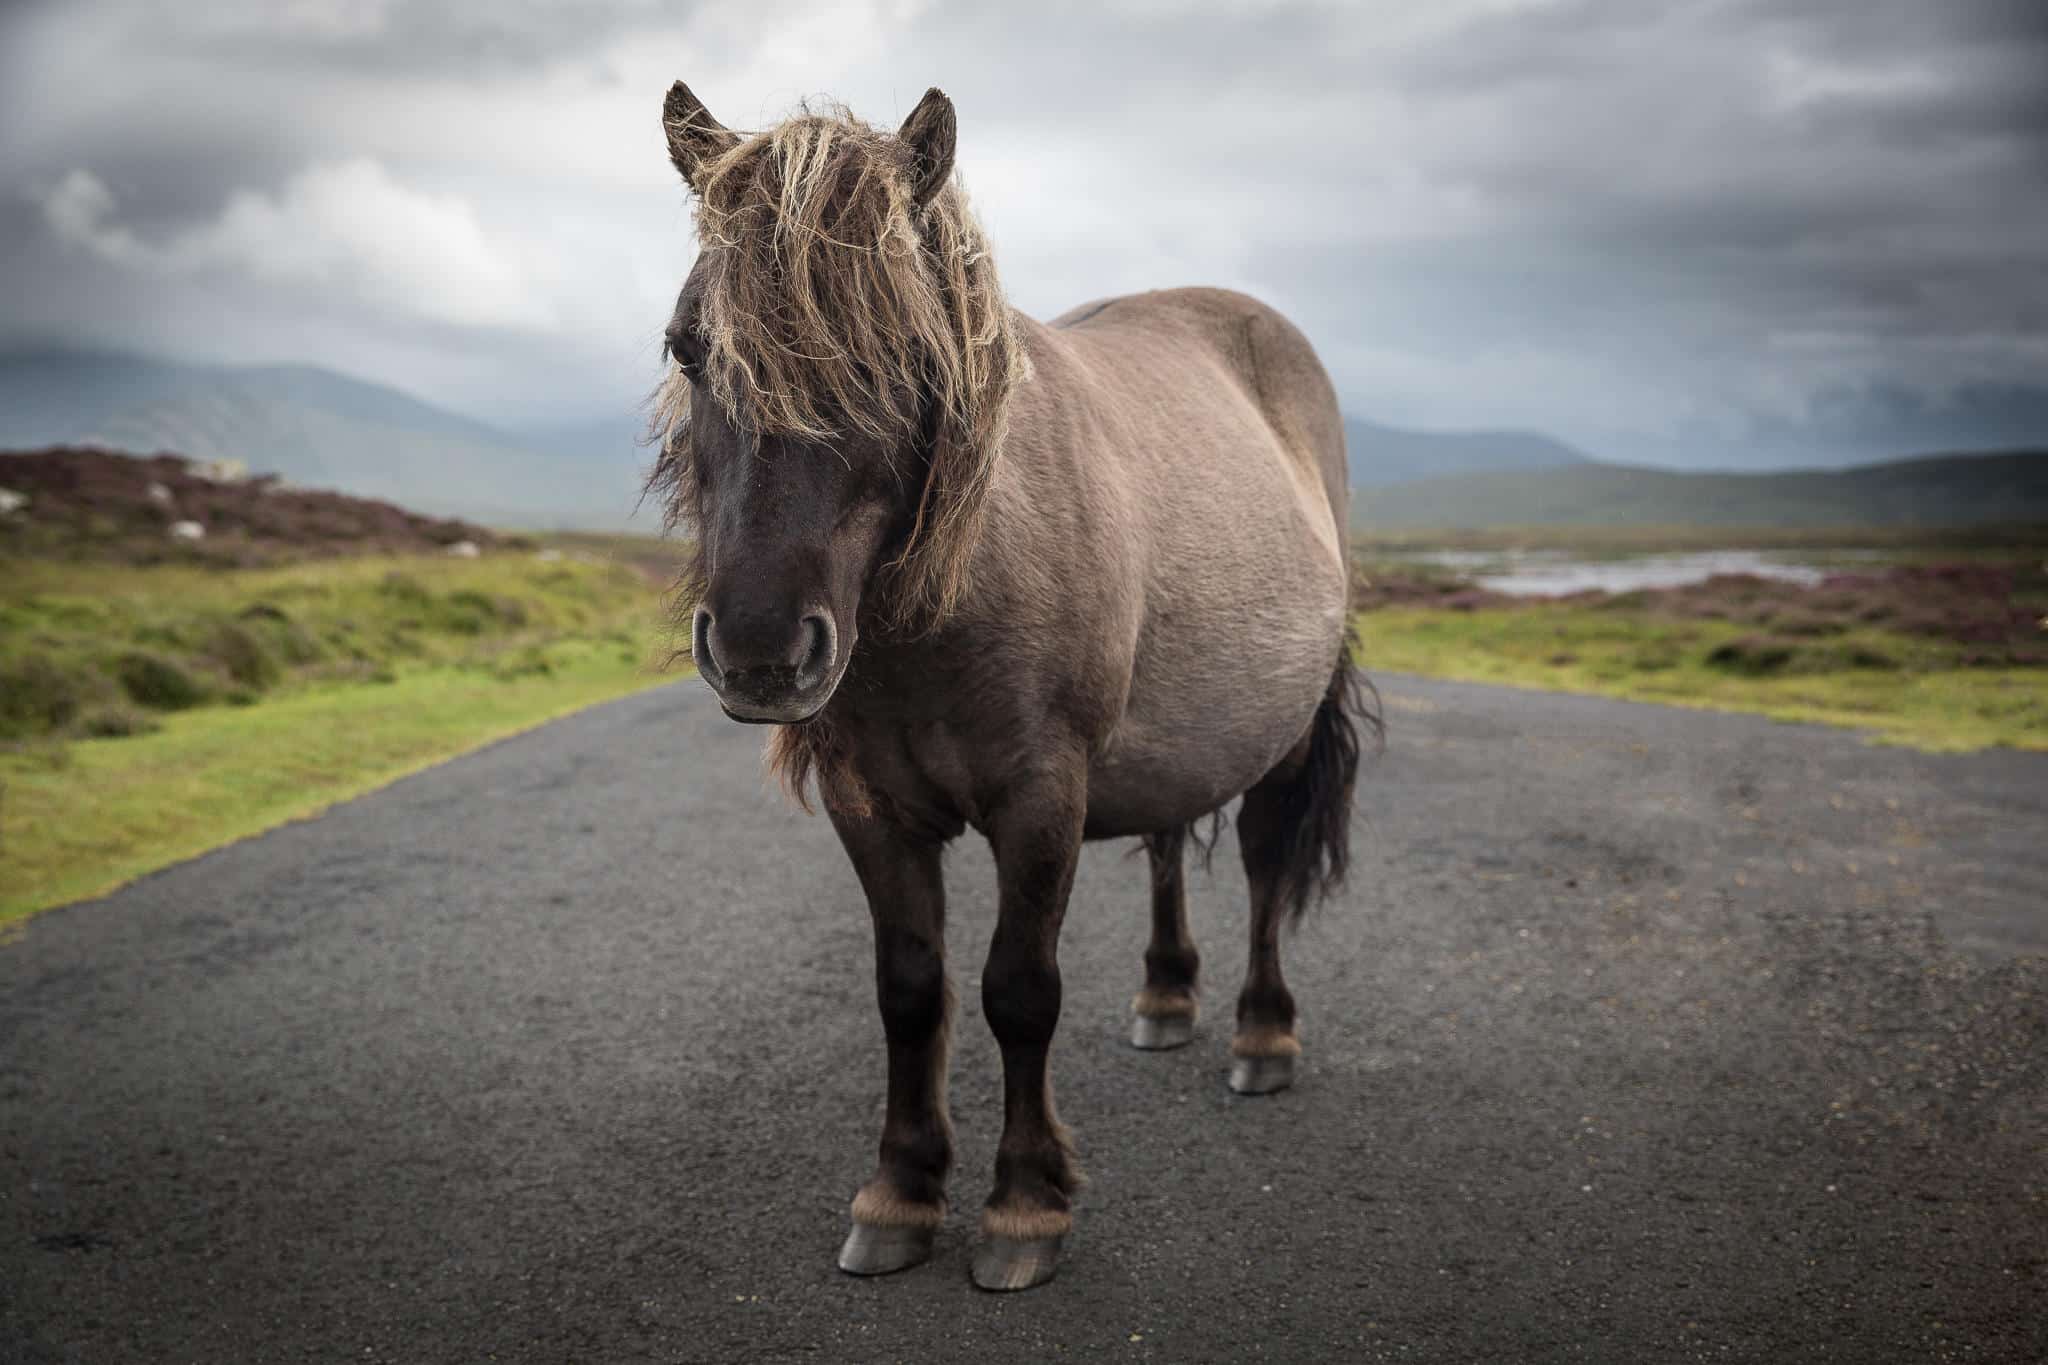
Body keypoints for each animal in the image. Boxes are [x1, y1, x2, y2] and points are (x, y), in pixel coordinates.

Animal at [650, 82, 1374, 1291]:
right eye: (687, 347)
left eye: (896, 353)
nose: (758, 649)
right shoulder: (868, 804)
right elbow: (909, 990)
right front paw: (899, 1192)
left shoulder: (1041, 795)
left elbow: (1017, 992)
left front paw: (1024, 1205)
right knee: (1168, 839)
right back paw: (1165, 995)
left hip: (1279, 732)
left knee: (1268, 859)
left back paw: (1261, 1034)